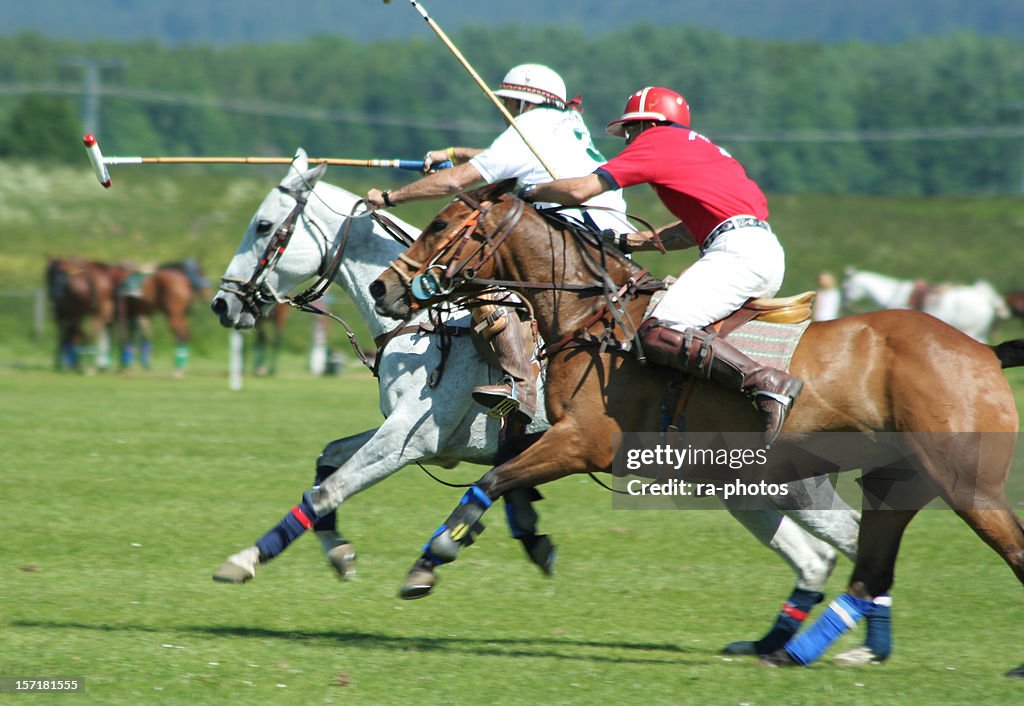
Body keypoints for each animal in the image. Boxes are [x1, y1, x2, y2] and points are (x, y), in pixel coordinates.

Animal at [207, 151, 880, 659]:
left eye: (263, 226)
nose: (221, 304)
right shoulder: (419, 438)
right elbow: (329, 459)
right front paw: (343, 554)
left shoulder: (412, 438)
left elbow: (330, 486)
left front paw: (244, 559)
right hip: (739, 487)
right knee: (817, 556)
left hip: (794, 483)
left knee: (849, 542)